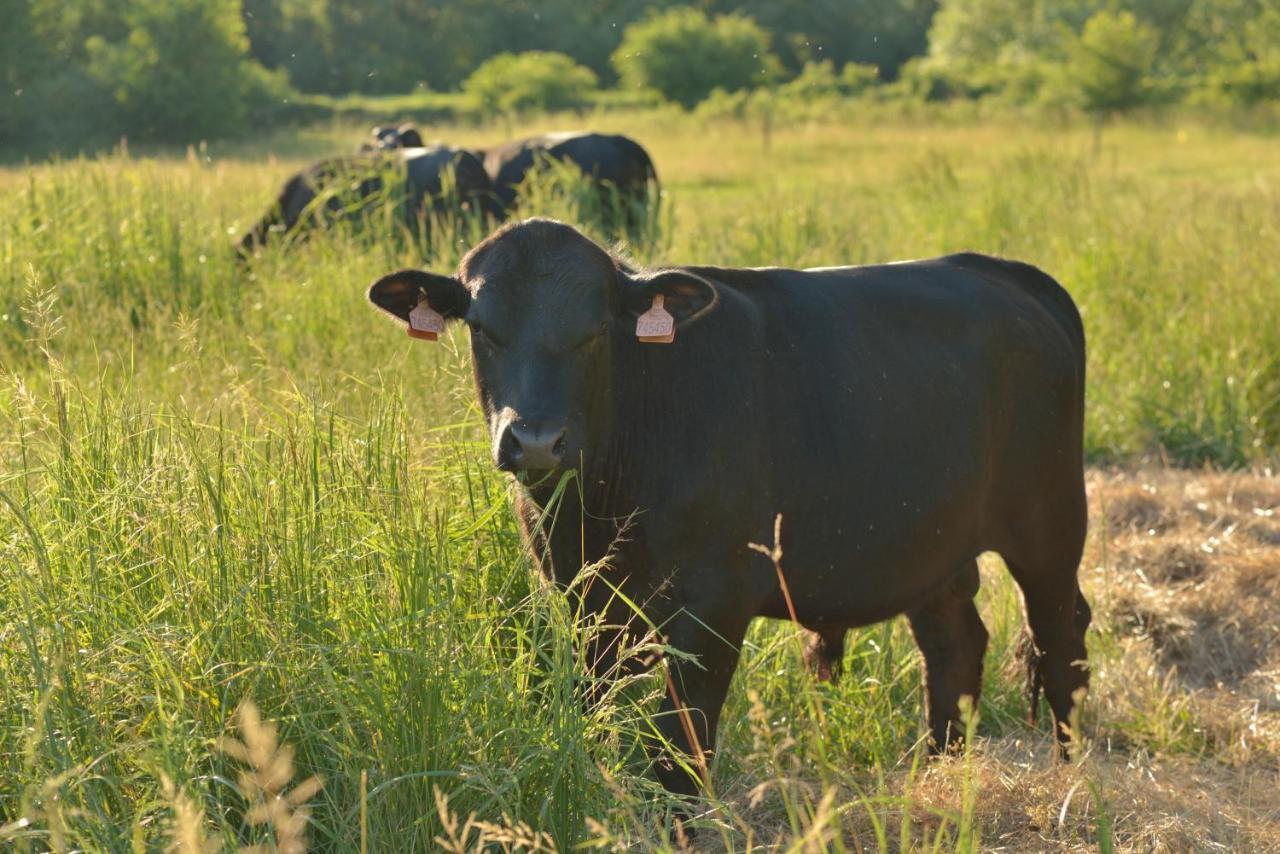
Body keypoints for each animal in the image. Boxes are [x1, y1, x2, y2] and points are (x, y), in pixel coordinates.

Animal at [366, 218, 1095, 793]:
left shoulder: (713, 607)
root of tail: (1000, 272)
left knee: (1061, 641)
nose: (538, 438)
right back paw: (942, 775)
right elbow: (596, 718)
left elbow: (679, 750)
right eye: (482, 329)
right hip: (933, 547)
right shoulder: (582, 602)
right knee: (954, 649)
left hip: (1050, 527)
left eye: (596, 330)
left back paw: (1070, 779)